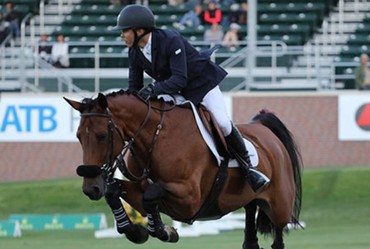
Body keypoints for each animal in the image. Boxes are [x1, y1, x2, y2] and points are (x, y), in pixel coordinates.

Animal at [65, 90, 302, 249]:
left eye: (102, 136)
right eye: (78, 136)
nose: (91, 188)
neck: (155, 138)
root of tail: (265, 130)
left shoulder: (190, 200)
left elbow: (152, 193)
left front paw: (162, 231)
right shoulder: (140, 190)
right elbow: (116, 191)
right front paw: (137, 231)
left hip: (279, 207)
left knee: (278, 236)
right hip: (250, 199)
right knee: (251, 231)